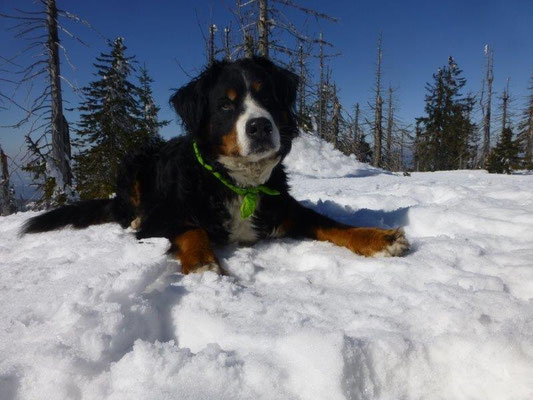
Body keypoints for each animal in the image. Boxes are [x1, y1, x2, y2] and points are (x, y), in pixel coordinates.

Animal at [20, 57, 408, 276]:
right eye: (225, 105)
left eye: (266, 96)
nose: (260, 126)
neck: (239, 183)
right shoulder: (166, 217)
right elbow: (193, 230)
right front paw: (202, 262)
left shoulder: (285, 210)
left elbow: (333, 224)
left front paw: (381, 238)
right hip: (135, 161)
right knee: (126, 211)